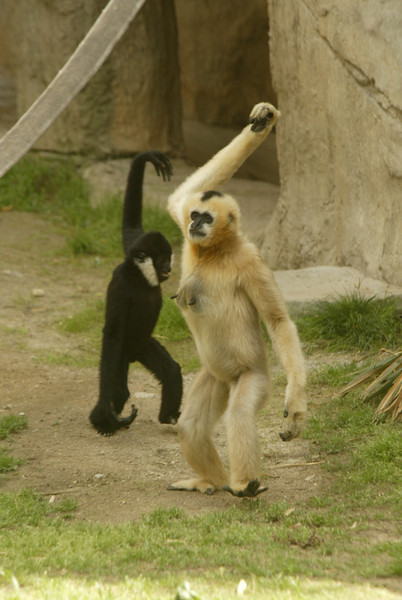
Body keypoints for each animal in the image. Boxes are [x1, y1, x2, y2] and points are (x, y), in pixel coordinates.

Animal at [89, 152, 182, 435]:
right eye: (162, 260)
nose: (169, 268)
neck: (140, 277)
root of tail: (131, 355)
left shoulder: (134, 243)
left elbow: (130, 225)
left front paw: (145, 159)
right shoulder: (120, 283)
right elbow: (112, 330)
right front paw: (106, 407)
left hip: (142, 345)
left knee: (171, 371)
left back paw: (168, 416)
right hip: (122, 351)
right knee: (119, 389)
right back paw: (102, 420)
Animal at [165, 102, 307, 497]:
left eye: (206, 218)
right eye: (194, 215)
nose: (194, 225)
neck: (214, 253)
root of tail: (228, 378)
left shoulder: (250, 260)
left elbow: (277, 321)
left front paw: (296, 404)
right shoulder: (187, 232)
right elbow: (177, 198)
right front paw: (262, 123)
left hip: (252, 375)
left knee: (240, 413)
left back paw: (243, 484)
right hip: (214, 376)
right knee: (191, 427)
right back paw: (213, 482)